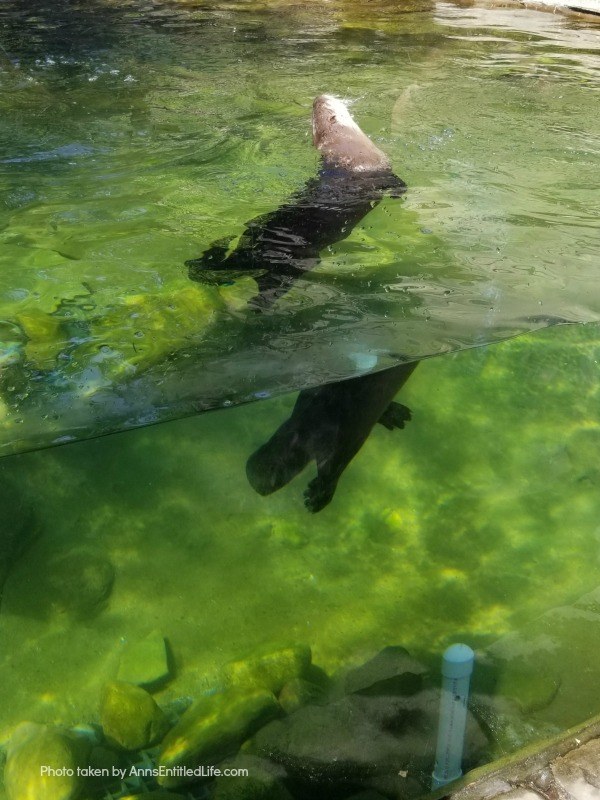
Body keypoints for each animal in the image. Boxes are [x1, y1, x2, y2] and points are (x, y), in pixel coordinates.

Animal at [185, 95, 406, 310]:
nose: (317, 98)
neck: (349, 149)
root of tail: (249, 257)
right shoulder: (376, 169)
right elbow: (396, 183)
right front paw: (400, 193)